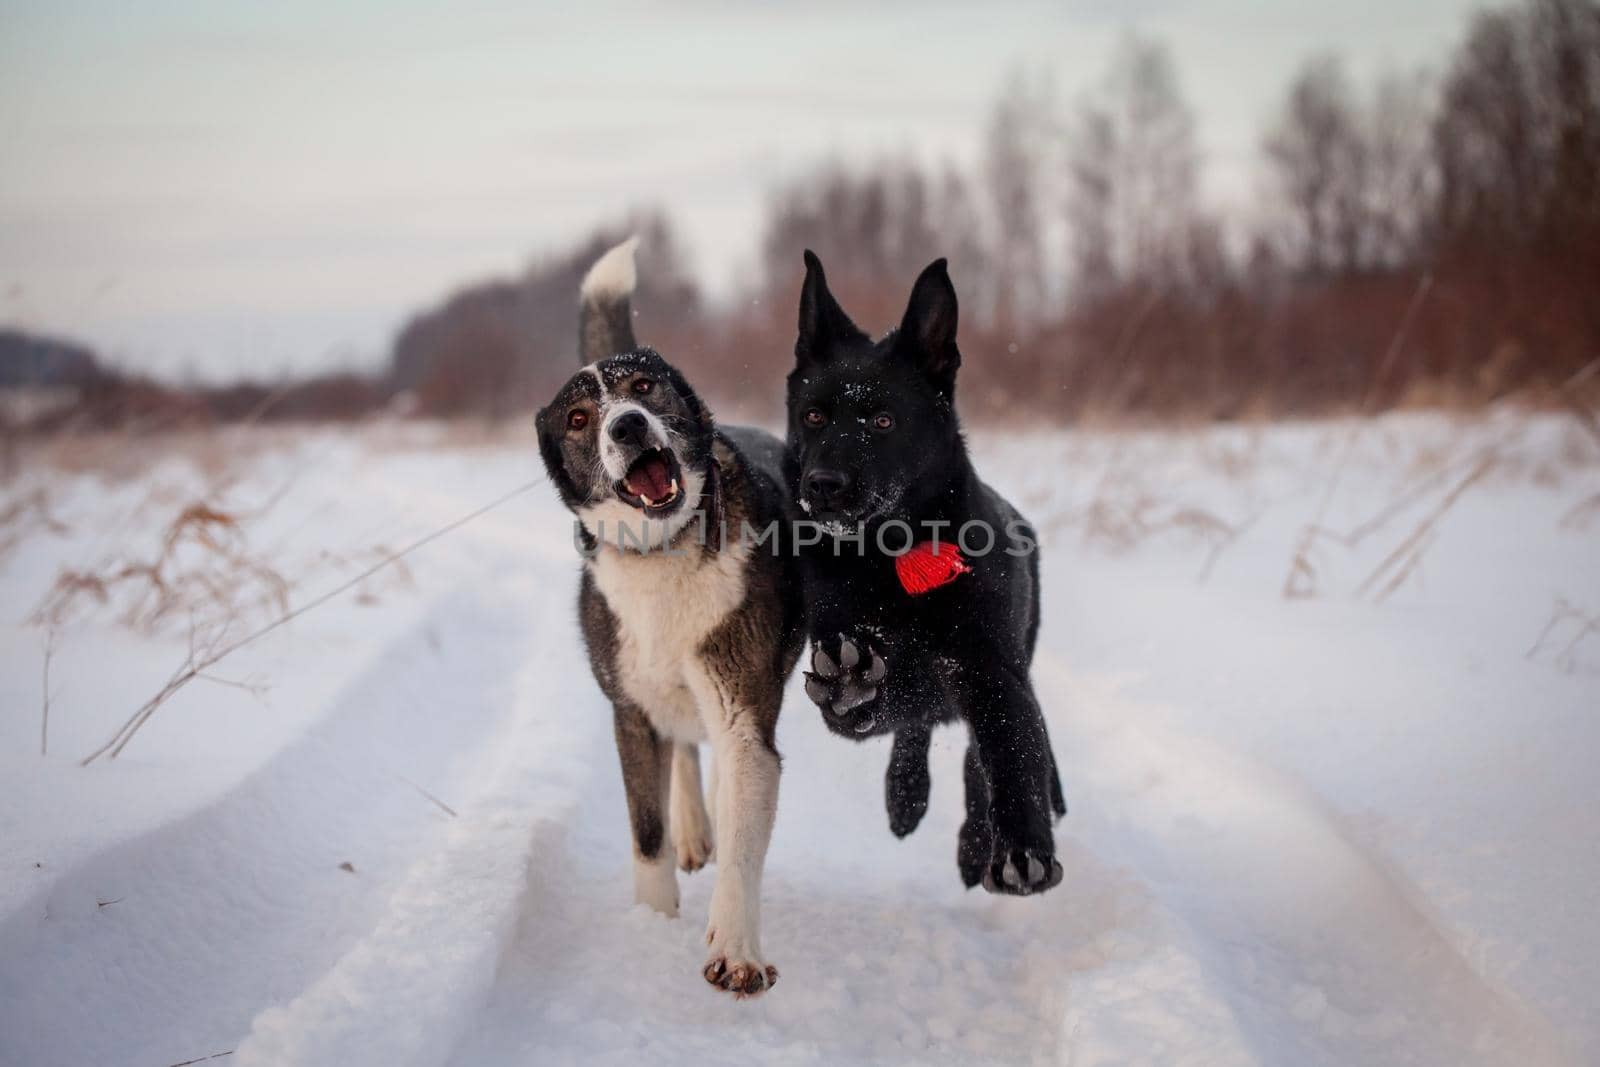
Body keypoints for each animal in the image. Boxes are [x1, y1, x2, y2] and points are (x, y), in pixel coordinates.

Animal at [537, 238, 800, 998]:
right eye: (578, 419)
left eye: (644, 388)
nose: (627, 425)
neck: (664, 551)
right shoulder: (629, 711)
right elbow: (644, 829)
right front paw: (651, 925)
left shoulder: (744, 711)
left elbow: (744, 832)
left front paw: (736, 950)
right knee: (682, 747)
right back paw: (692, 825)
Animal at [784, 254, 1068, 895]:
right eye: (813, 416)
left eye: (884, 420)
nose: (822, 486)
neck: (893, 556)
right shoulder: (847, 651)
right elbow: (879, 706)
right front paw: (850, 687)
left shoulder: (993, 672)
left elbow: (1010, 754)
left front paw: (1020, 847)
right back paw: (905, 794)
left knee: (987, 751)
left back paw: (976, 840)